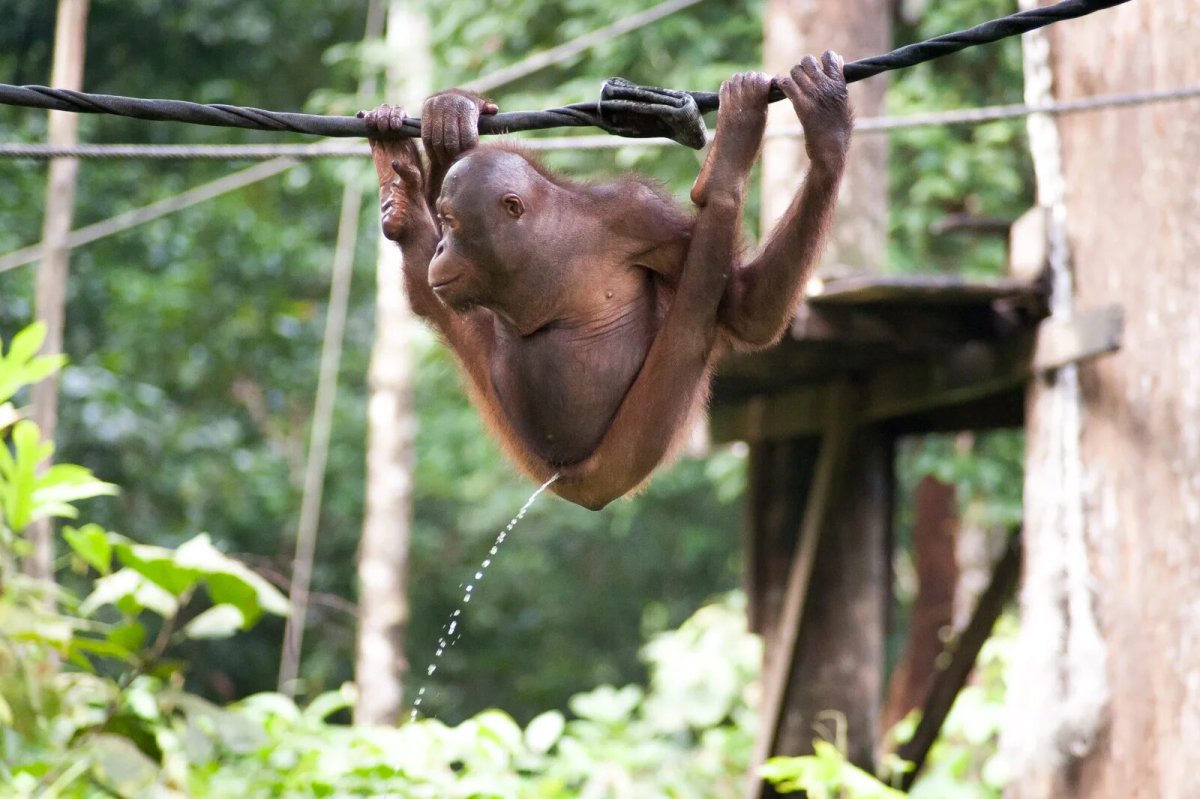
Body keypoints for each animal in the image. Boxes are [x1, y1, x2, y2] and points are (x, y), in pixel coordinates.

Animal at [362, 52, 852, 510]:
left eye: (452, 222)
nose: (442, 248)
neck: (545, 238)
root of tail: (580, 487)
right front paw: (452, 111)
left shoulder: (640, 215)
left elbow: (745, 309)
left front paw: (828, 140)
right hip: (521, 432)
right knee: (431, 302)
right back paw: (402, 196)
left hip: (635, 441)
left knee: (693, 322)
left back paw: (727, 170)